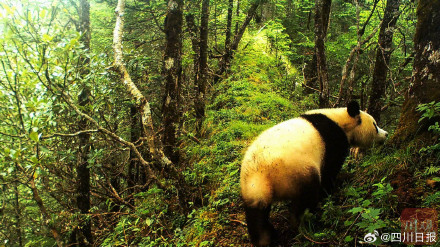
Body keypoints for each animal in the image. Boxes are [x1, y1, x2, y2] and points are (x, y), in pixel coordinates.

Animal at [241, 101, 388, 246]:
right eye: (375, 125)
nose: (386, 134)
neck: (342, 121)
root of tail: (263, 177)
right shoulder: (332, 142)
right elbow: (330, 172)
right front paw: (338, 184)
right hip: (297, 171)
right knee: (306, 199)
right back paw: (305, 225)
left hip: (251, 189)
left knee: (257, 217)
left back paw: (266, 238)